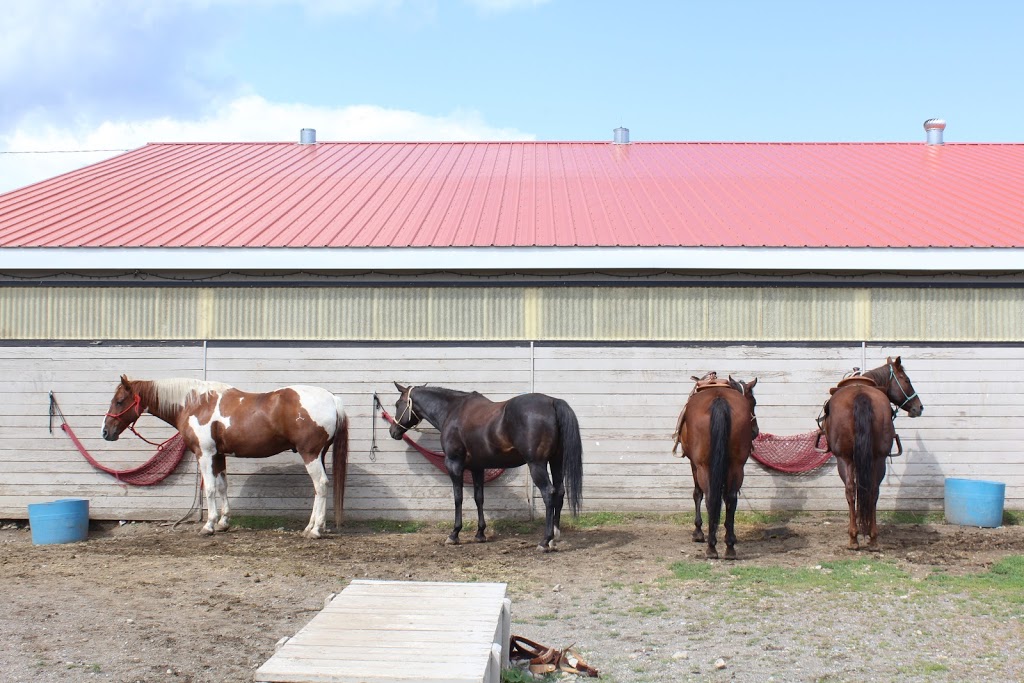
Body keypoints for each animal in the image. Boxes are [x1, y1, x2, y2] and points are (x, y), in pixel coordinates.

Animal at [100, 374, 348, 540]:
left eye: (119, 401)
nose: (105, 432)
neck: (196, 404)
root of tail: (332, 399)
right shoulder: (218, 455)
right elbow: (222, 487)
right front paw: (223, 523)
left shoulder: (205, 454)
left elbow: (209, 489)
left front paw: (208, 525)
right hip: (319, 455)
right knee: (318, 488)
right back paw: (310, 527)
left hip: (310, 454)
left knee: (321, 485)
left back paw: (316, 531)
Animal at [385, 382, 581, 552]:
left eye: (398, 404)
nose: (393, 431)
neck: (452, 411)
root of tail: (552, 402)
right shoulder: (477, 468)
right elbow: (479, 498)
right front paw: (480, 533)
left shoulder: (454, 464)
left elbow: (458, 498)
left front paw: (454, 534)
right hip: (556, 461)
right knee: (560, 492)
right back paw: (555, 538)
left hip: (537, 464)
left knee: (549, 493)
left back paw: (545, 541)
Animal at [671, 376, 761, 557]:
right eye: (753, 402)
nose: (756, 431)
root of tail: (719, 399)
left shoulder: (694, 464)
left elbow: (697, 494)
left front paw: (698, 532)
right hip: (736, 466)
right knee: (731, 498)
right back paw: (730, 546)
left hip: (703, 466)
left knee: (710, 497)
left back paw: (711, 546)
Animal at [819, 358, 925, 548]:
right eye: (907, 380)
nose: (919, 407)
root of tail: (861, 394)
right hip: (878, 458)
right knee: (873, 490)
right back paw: (873, 536)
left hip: (845, 459)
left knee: (851, 490)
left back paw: (854, 537)